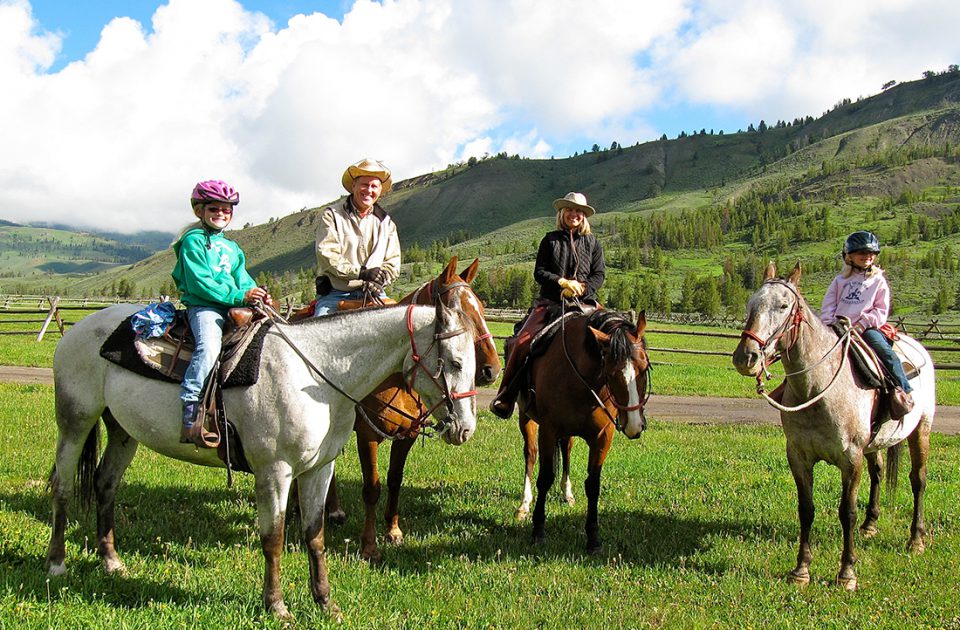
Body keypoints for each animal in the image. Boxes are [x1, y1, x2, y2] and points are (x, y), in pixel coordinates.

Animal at [324, 256, 502, 564]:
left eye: (481, 308)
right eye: (458, 312)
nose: (492, 369)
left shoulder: (407, 435)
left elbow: (395, 480)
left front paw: (393, 530)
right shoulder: (367, 435)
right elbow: (372, 488)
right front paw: (369, 545)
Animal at [512, 308, 648, 556]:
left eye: (644, 368)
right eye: (611, 373)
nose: (634, 425)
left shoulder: (602, 437)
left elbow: (593, 485)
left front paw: (593, 539)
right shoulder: (548, 430)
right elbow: (545, 478)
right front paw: (538, 531)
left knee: (566, 451)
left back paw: (567, 494)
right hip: (526, 419)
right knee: (530, 455)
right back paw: (524, 505)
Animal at [732, 262, 932, 592]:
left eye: (784, 306)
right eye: (750, 304)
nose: (745, 357)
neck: (817, 389)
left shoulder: (850, 459)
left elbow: (846, 512)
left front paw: (847, 572)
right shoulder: (798, 456)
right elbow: (806, 509)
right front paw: (801, 570)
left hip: (921, 431)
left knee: (918, 480)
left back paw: (915, 540)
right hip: (873, 445)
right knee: (878, 472)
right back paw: (870, 524)